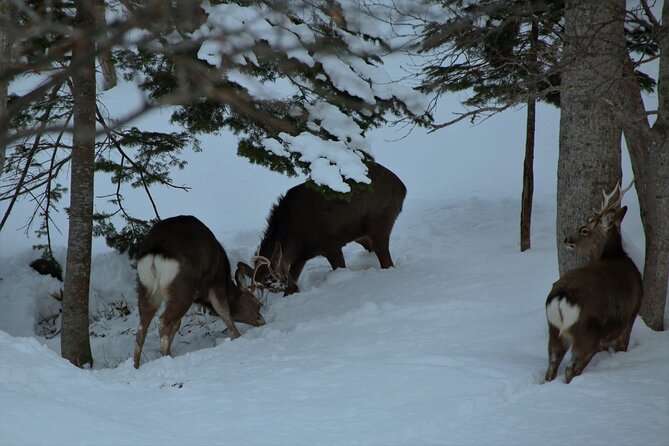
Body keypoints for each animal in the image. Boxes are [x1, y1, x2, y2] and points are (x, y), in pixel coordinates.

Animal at [132, 214, 264, 368]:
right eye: (257, 303)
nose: (262, 321)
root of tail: (156, 252)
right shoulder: (217, 281)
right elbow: (225, 312)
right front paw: (238, 337)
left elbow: (177, 325)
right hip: (182, 289)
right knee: (163, 321)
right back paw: (166, 358)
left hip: (146, 289)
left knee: (141, 329)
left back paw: (137, 366)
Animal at [241, 161, 404, 296]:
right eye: (264, 283)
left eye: (270, 278)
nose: (293, 288)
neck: (295, 237)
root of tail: (403, 189)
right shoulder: (301, 257)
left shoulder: (331, 245)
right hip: (361, 235)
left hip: (380, 224)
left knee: (387, 262)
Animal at [544, 181, 644, 384]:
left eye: (584, 229)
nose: (566, 239)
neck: (615, 255)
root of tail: (561, 296)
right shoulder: (631, 315)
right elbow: (622, 346)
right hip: (587, 332)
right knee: (571, 369)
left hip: (554, 329)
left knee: (551, 365)